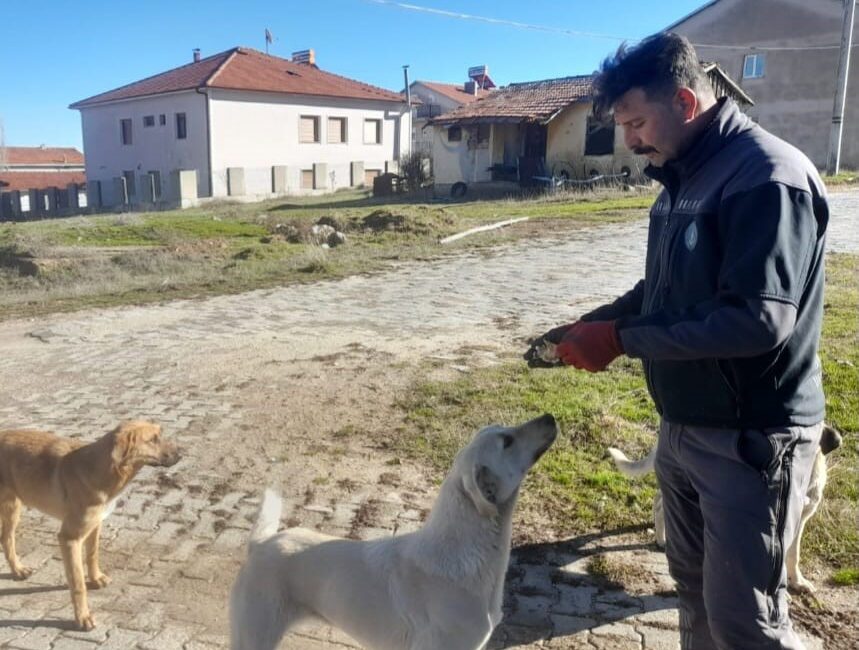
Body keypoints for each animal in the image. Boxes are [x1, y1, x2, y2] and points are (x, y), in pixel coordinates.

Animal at [0, 420, 179, 628]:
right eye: (153, 440)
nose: (181, 454)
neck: (101, 470)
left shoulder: (95, 526)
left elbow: (93, 555)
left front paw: (96, 579)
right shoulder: (69, 538)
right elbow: (78, 583)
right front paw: (82, 616)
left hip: (13, 507)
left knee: (6, 539)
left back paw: (17, 569)